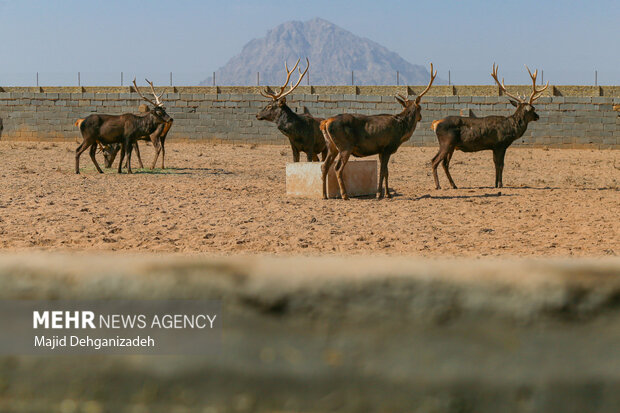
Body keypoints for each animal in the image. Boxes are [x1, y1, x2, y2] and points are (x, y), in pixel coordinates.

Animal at [320, 62, 436, 200]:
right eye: (420, 108)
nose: (421, 117)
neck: (402, 132)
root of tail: (325, 123)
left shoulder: (381, 150)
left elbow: (386, 172)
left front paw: (388, 194)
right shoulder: (387, 148)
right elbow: (382, 171)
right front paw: (379, 194)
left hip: (331, 146)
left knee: (324, 166)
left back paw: (324, 195)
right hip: (345, 146)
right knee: (337, 168)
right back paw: (345, 195)